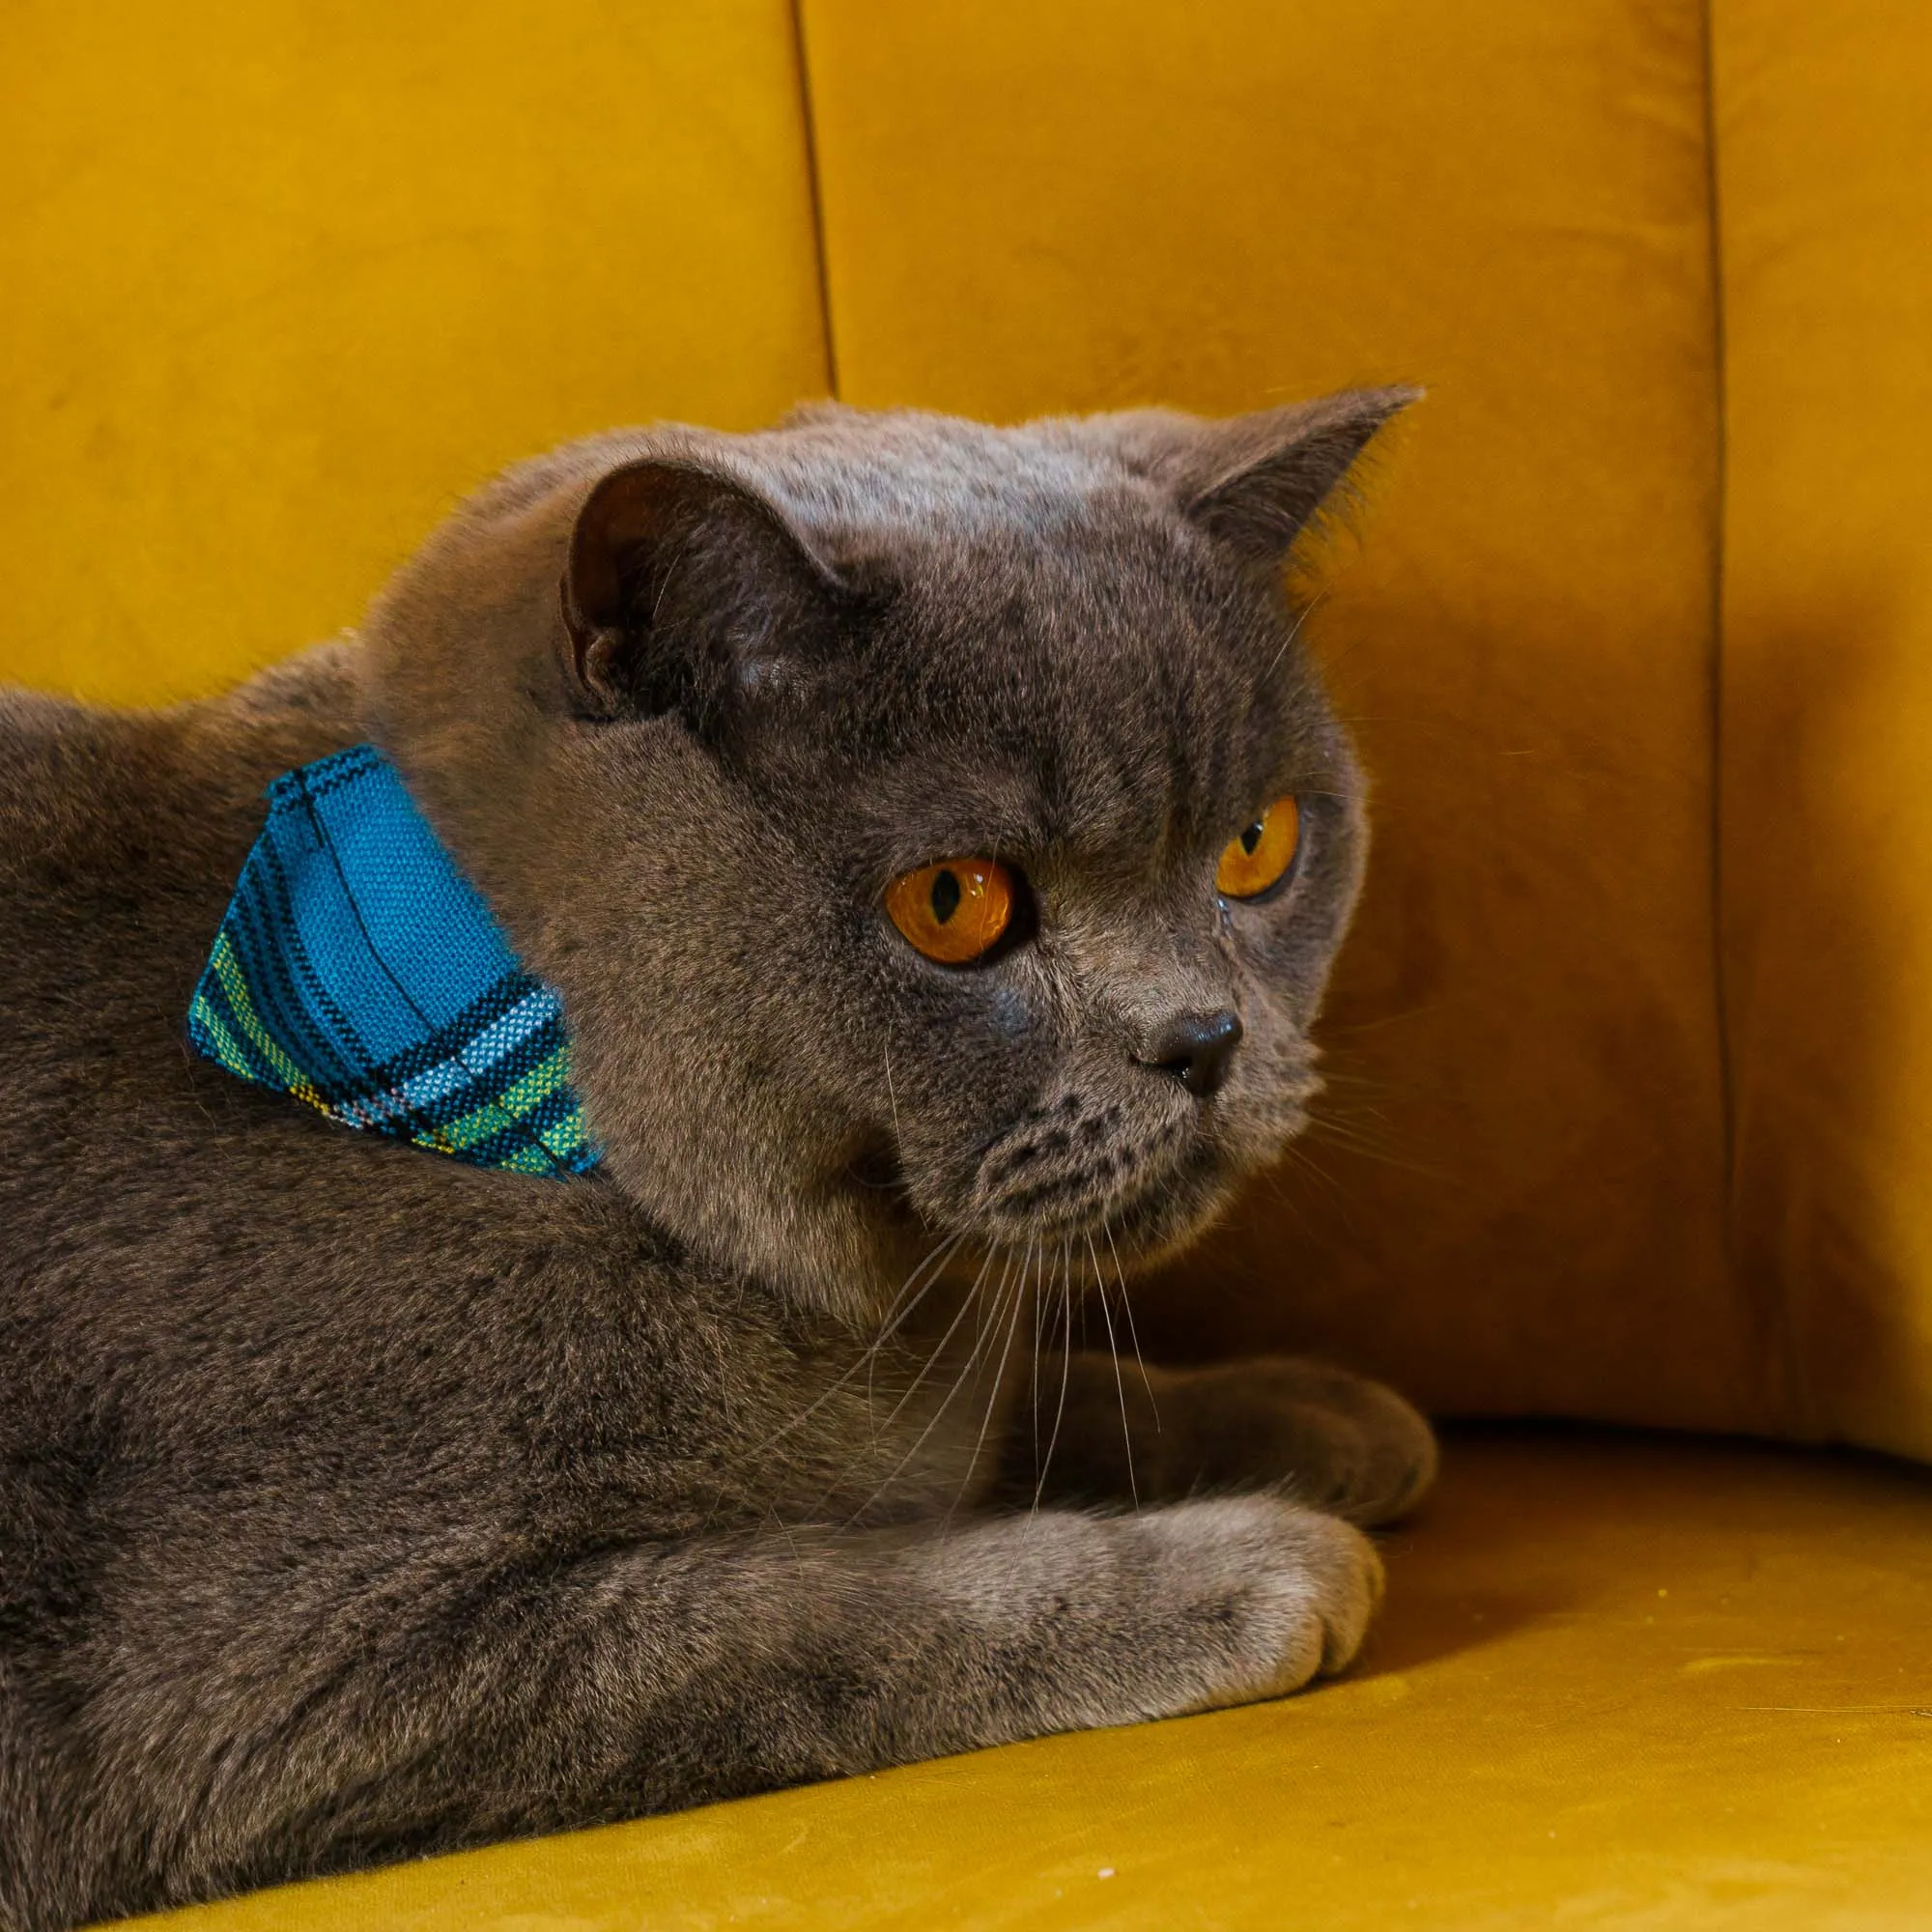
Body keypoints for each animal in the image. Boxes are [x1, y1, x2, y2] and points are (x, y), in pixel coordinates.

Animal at [0, 396, 1437, 1932]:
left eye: (1259, 844)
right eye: (953, 902)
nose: (1204, 1037)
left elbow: (1046, 1403)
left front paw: (1322, 1415)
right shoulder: (283, 1676)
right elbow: (837, 1607)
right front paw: (1264, 1562)